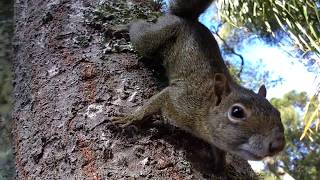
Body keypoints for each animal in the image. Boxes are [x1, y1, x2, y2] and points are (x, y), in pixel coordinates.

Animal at [112, 0, 284, 172]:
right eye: (237, 112)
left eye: (278, 113)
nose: (278, 145)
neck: (206, 104)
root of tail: (188, 19)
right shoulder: (180, 98)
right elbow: (155, 101)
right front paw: (131, 117)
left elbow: (219, 152)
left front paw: (221, 167)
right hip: (156, 36)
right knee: (140, 32)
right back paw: (123, 26)